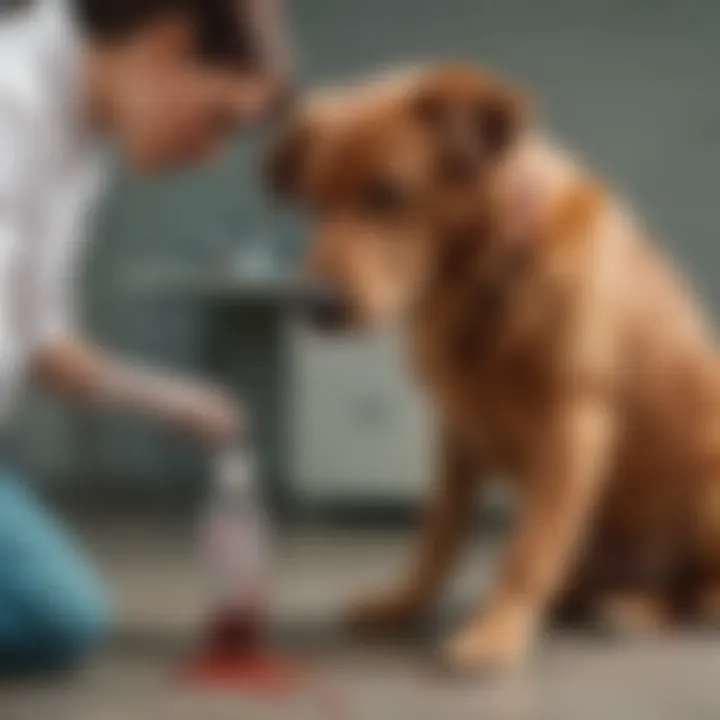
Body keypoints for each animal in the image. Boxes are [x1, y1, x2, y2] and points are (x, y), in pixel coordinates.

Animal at [268, 64, 720, 672]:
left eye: (388, 194)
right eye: (313, 200)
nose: (310, 304)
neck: (488, 279)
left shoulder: (573, 424)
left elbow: (525, 553)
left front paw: (495, 633)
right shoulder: (456, 432)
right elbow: (438, 536)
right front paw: (405, 604)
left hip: (705, 492)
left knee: (699, 594)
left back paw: (635, 611)